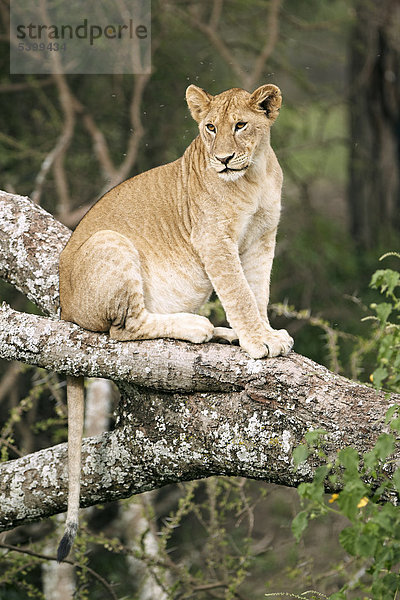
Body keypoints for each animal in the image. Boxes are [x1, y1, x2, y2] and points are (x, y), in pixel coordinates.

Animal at [56, 82, 292, 560]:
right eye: (210, 128)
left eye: (241, 125)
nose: (223, 159)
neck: (253, 176)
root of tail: (63, 303)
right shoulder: (214, 240)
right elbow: (239, 293)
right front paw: (258, 342)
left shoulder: (262, 238)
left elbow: (257, 292)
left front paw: (262, 333)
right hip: (113, 243)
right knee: (122, 328)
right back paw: (198, 328)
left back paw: (222, 333)